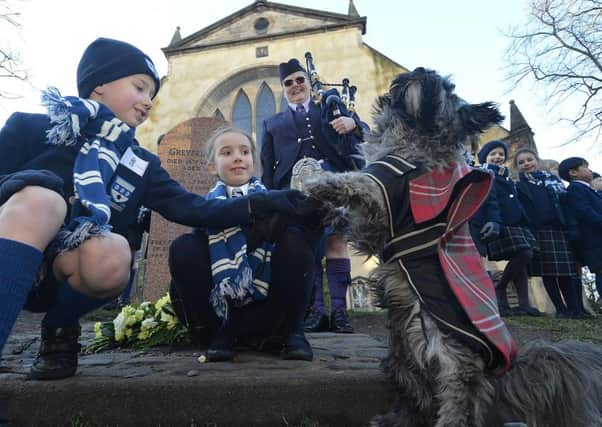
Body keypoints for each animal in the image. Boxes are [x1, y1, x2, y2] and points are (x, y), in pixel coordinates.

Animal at [308, 67, 596, 427]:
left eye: (445, 90)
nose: (422, 72)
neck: (412, 136)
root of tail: (502, 374)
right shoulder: (372, 227)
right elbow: (349, 214)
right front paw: (323, 205)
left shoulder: (380, 196)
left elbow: (355, 180)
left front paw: (318, 182)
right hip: (404, 355)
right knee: (418, 396)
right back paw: (394, 420)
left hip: (448, 352)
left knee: (459, 398)